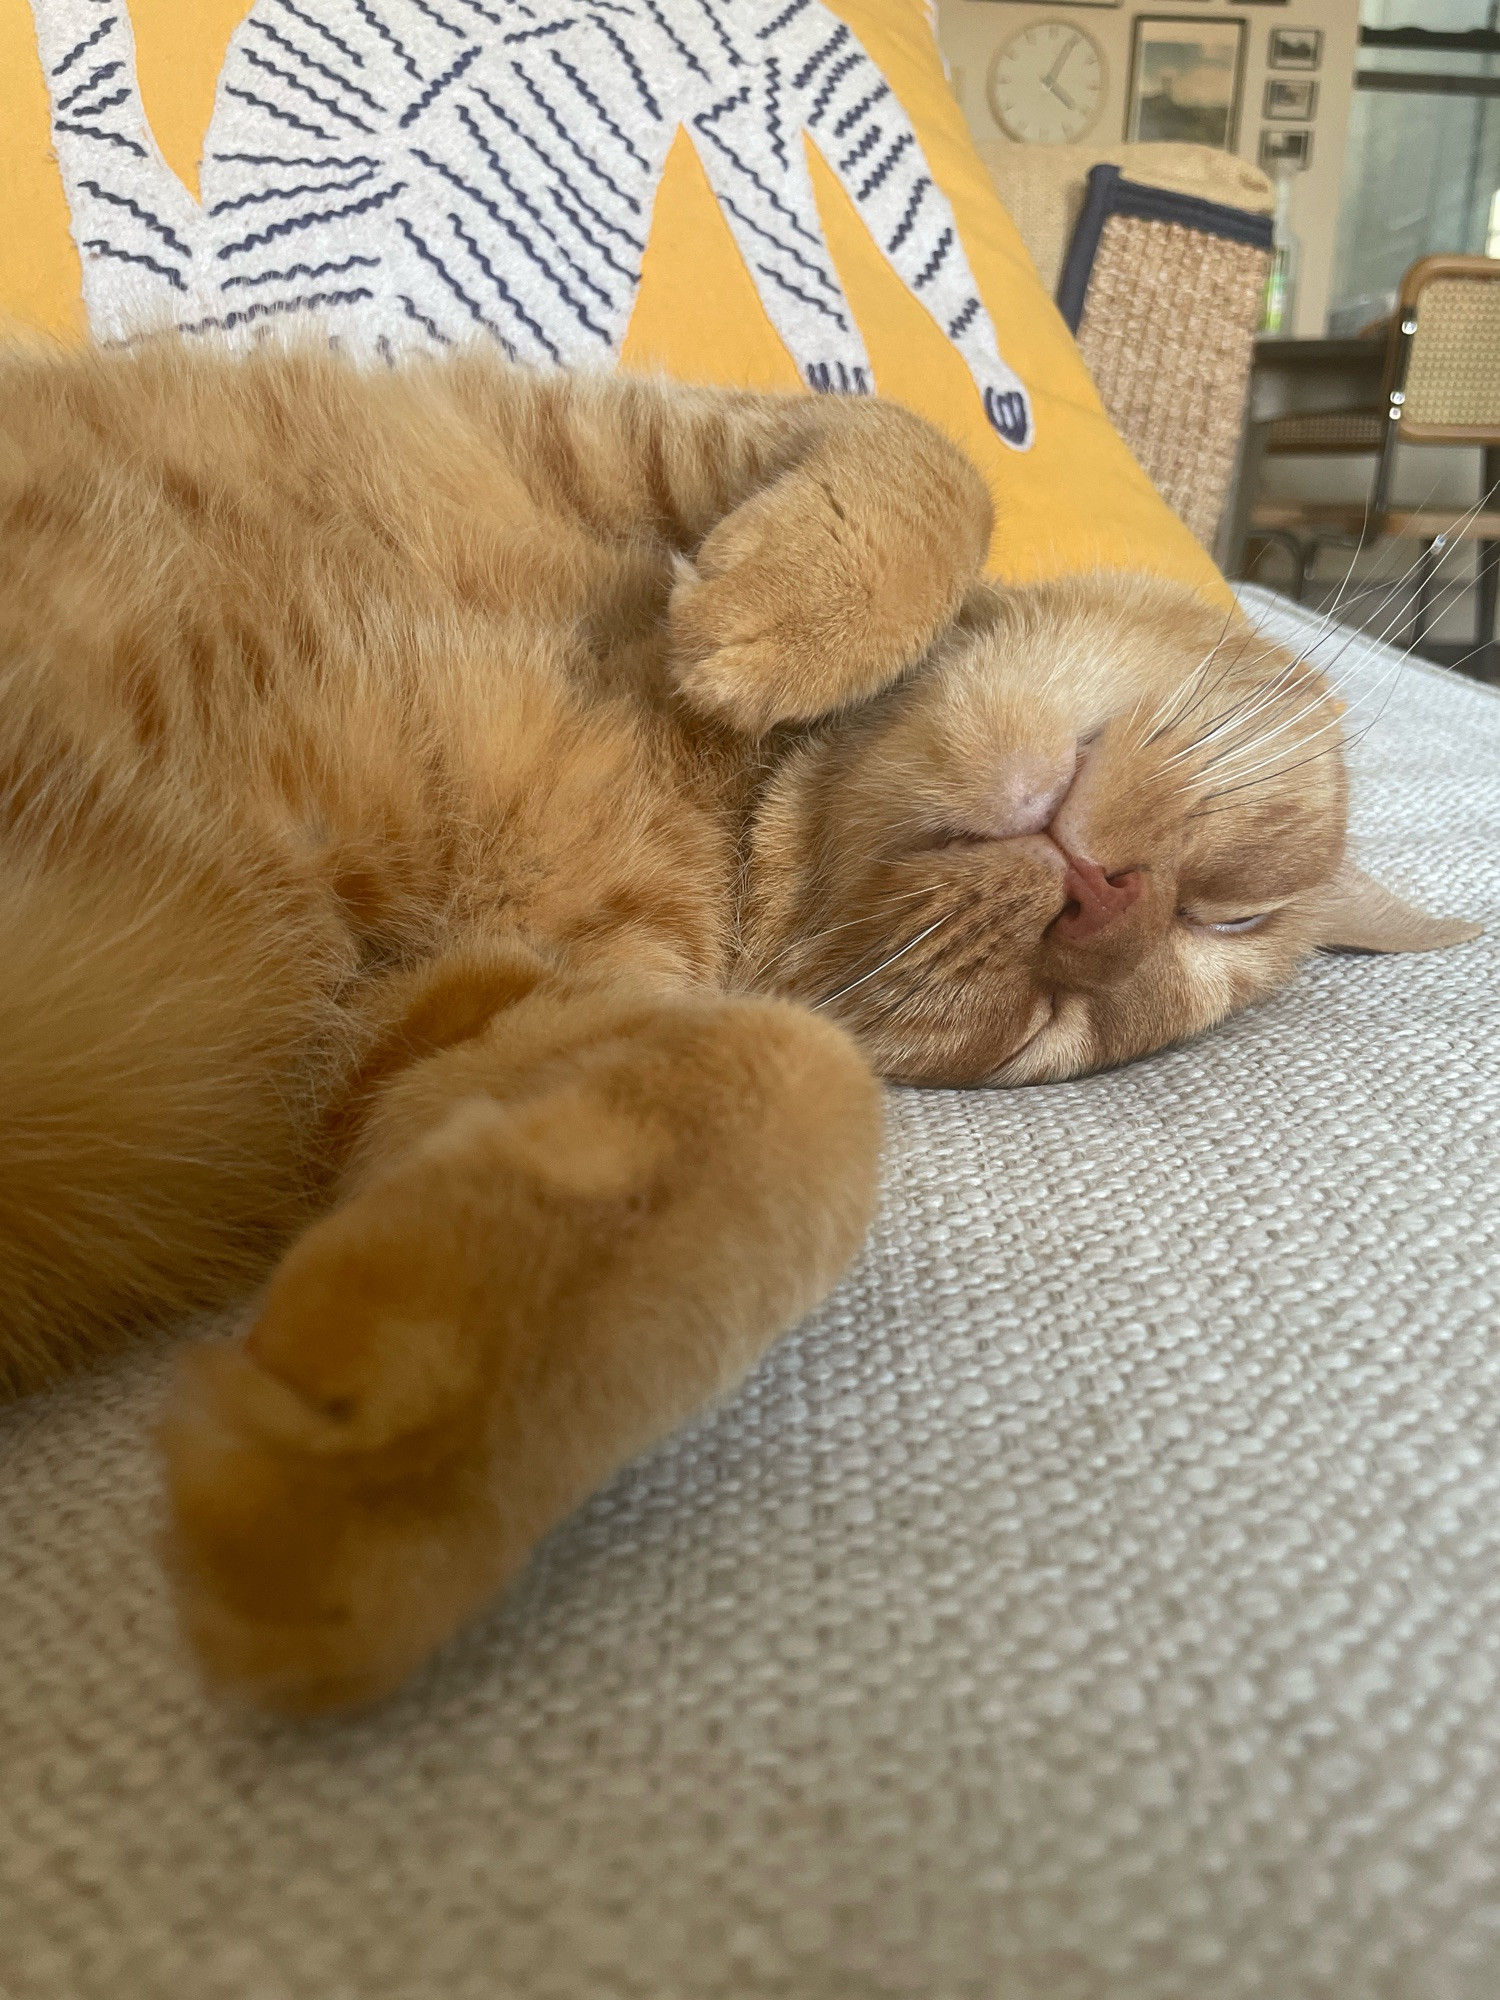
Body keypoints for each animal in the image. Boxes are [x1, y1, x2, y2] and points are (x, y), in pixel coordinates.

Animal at [0, 336, 1480, 1712]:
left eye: (1052, 1034)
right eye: (1232, 910)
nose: (1103, 916)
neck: (720, 793)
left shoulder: (404, 1014)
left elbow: (792, 1097)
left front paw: (383, 1463)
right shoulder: (636, 427)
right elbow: (929, 456)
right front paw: (783, 614)